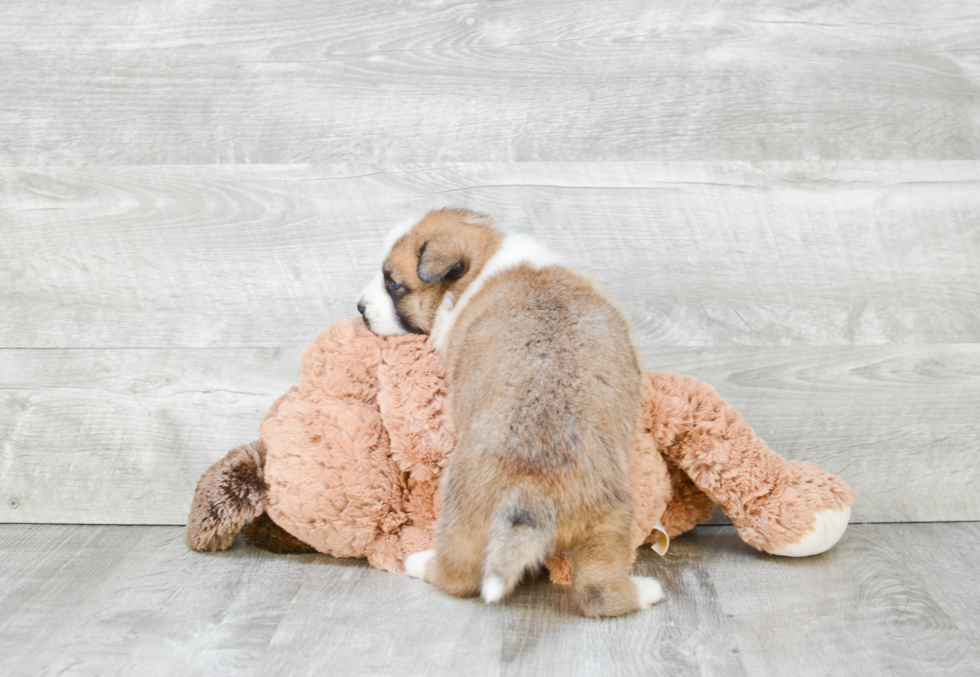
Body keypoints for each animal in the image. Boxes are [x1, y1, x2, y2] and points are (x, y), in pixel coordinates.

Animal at [356, 209, 664, 616]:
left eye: (394, 285)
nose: (359, 308)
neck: (484, 262)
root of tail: (532, 485)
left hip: (463, 512)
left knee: (459, 574)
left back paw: (419, 563)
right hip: (609, 518)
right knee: (601, 590)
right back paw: (645, 592)